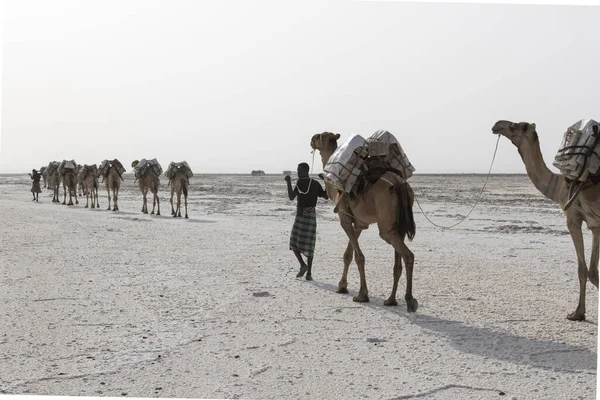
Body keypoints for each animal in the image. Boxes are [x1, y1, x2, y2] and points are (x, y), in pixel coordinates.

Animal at [310, 133, 418, 310]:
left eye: (320, 136)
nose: (311, 139)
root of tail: (399, 183)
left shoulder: (345, 219)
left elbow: (358, 257)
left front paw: (362, 295)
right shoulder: (359, 224)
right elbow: (348, 254)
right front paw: (342, 287)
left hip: (386, 225)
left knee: (407, 255)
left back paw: (410, 301)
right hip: (399, 224)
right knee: (398, 262)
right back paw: (391, 300)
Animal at [492, 120, 600, 320]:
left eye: (518, 126)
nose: (497, 125)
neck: (559, 185)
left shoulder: (573, 219)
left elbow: (582, 270)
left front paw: (577, 313)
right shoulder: (595, 225)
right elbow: (592, 271)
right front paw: (580, 312)